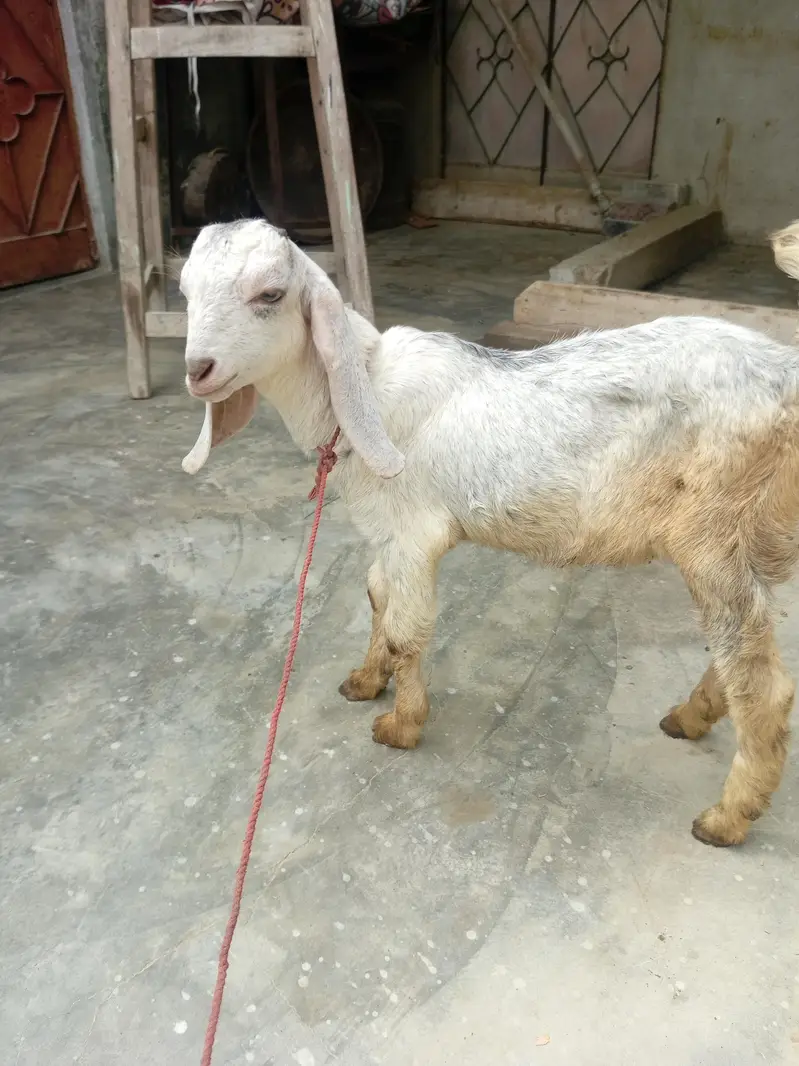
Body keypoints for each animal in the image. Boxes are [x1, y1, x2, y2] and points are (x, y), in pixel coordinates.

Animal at [179, 218, 799, 848]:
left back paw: (726, 817)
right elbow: (378, 597)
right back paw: (692, 717)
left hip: (712, 530)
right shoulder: (388, 534)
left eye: (270, 294)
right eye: (184, 292)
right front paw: (365, 679)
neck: (365, 395)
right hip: (751, 535)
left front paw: (400, 725)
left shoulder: (415, 533)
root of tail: (787, 375)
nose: (197, 371)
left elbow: (406, 630)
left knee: (763, 680)